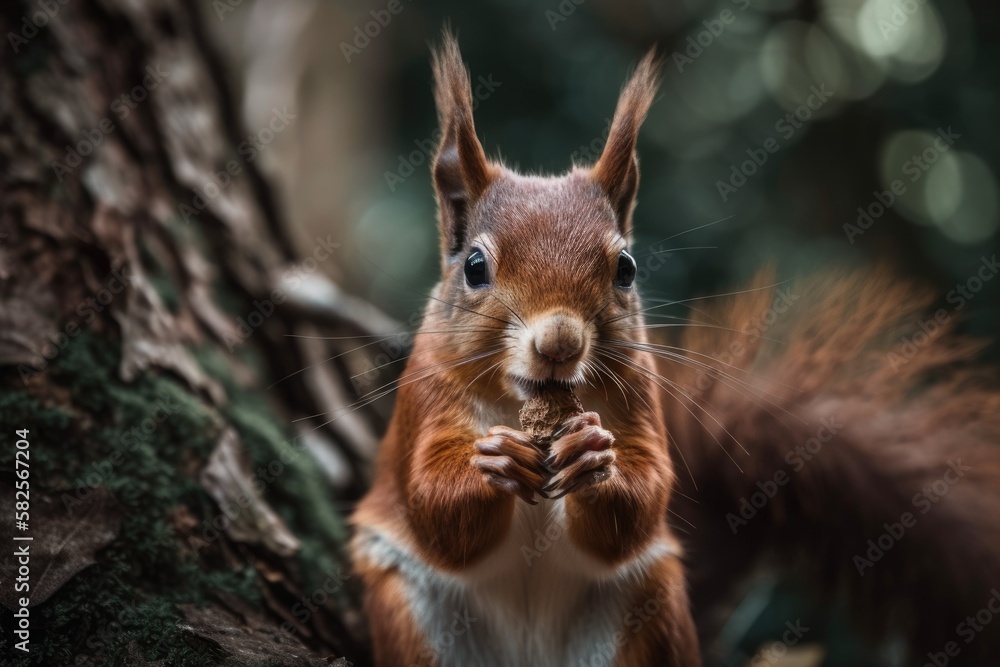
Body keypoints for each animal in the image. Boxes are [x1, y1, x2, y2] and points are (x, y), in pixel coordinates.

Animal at [350, 28, 1000, 664]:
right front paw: (497, 460)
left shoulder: (640, 395)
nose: (560, 341)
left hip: (650, 606)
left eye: (627, 268)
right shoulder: (425, 396)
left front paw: (596, 457)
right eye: (475, 266)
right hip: (412, 618)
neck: (525, 405)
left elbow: (642, 499)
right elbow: (431, 504)